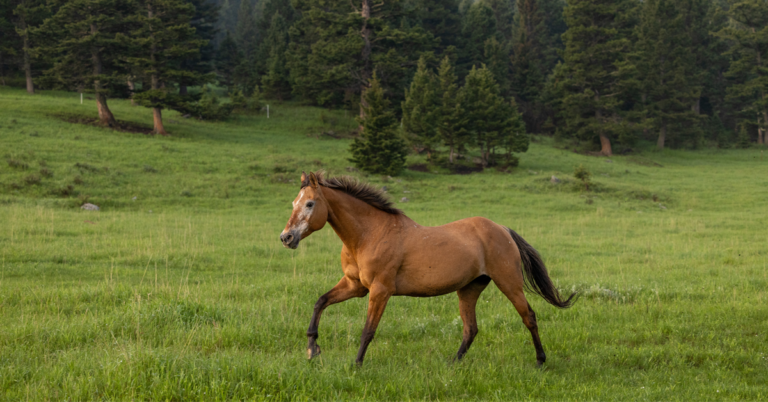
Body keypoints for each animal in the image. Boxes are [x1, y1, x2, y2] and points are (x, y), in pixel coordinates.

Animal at [280, 171, 576, 366]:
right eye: (293, 204)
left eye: (310, 203)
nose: (286, 237)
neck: (368, 235)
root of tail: (502, 229)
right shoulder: (355, 286)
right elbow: (320, 302)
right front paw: (312, 349)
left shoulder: (380, 290)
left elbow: (368, 330)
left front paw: (357, 365)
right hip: (469, 289)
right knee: (471, 329)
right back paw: (452, 364)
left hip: (509, 283)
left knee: (529, 317)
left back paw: (540, 361)